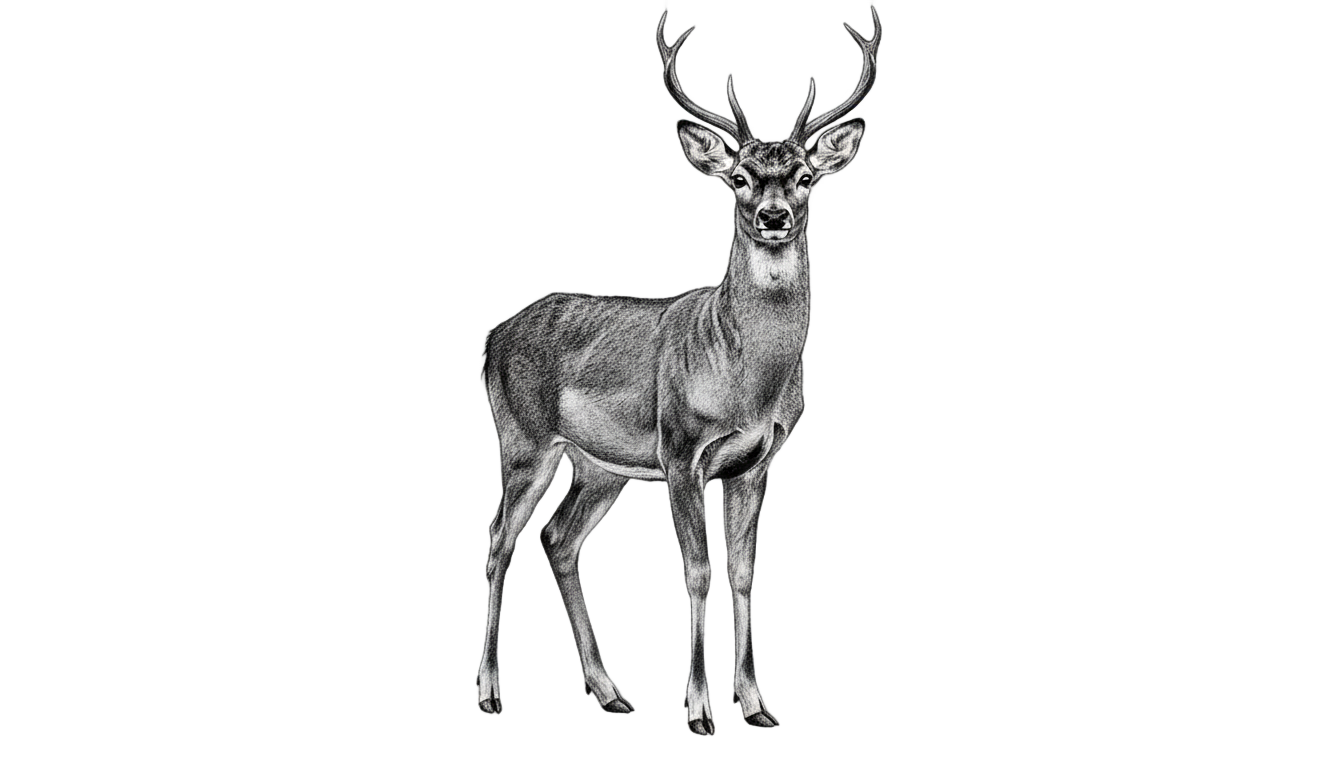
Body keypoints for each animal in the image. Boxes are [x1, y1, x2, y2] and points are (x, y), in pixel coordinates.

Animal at [471, 7, 885, 736]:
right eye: (739, 176)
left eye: (805, 175)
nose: (773, 216)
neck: (746, 379)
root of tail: (493, 337)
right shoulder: (682, 450)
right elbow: (695, 569)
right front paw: (697, 709)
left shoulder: (755, 460)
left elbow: (744, 571)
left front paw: (755, 704)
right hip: (524, 438)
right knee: (497, 541)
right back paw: (491, 692)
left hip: (600, 467)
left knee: (556, 538)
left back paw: (608, 691)